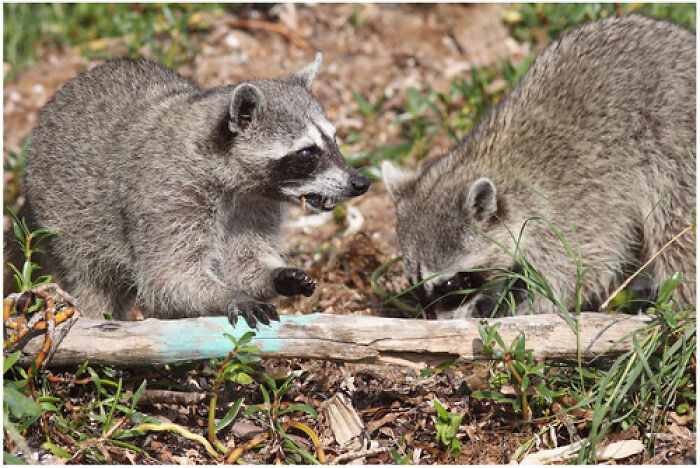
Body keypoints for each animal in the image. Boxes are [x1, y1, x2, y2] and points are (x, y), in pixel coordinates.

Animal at [22, 54, 370, 327]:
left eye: (333, 140)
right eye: (307, 153)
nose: (361, 182)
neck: (238, 184)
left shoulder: (255, 205)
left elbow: (244, 262)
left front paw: (279, 275)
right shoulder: (168, 194)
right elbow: (169, 278)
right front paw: (231, 296)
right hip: (65, 222)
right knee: (93, 284)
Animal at [382, 16, 695, 318]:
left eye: (450, 283)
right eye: (416, 284)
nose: (442, 323)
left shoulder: (578, 208)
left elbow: (582, 269)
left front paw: (531, 306)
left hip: (676, 149)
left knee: (677, 231)